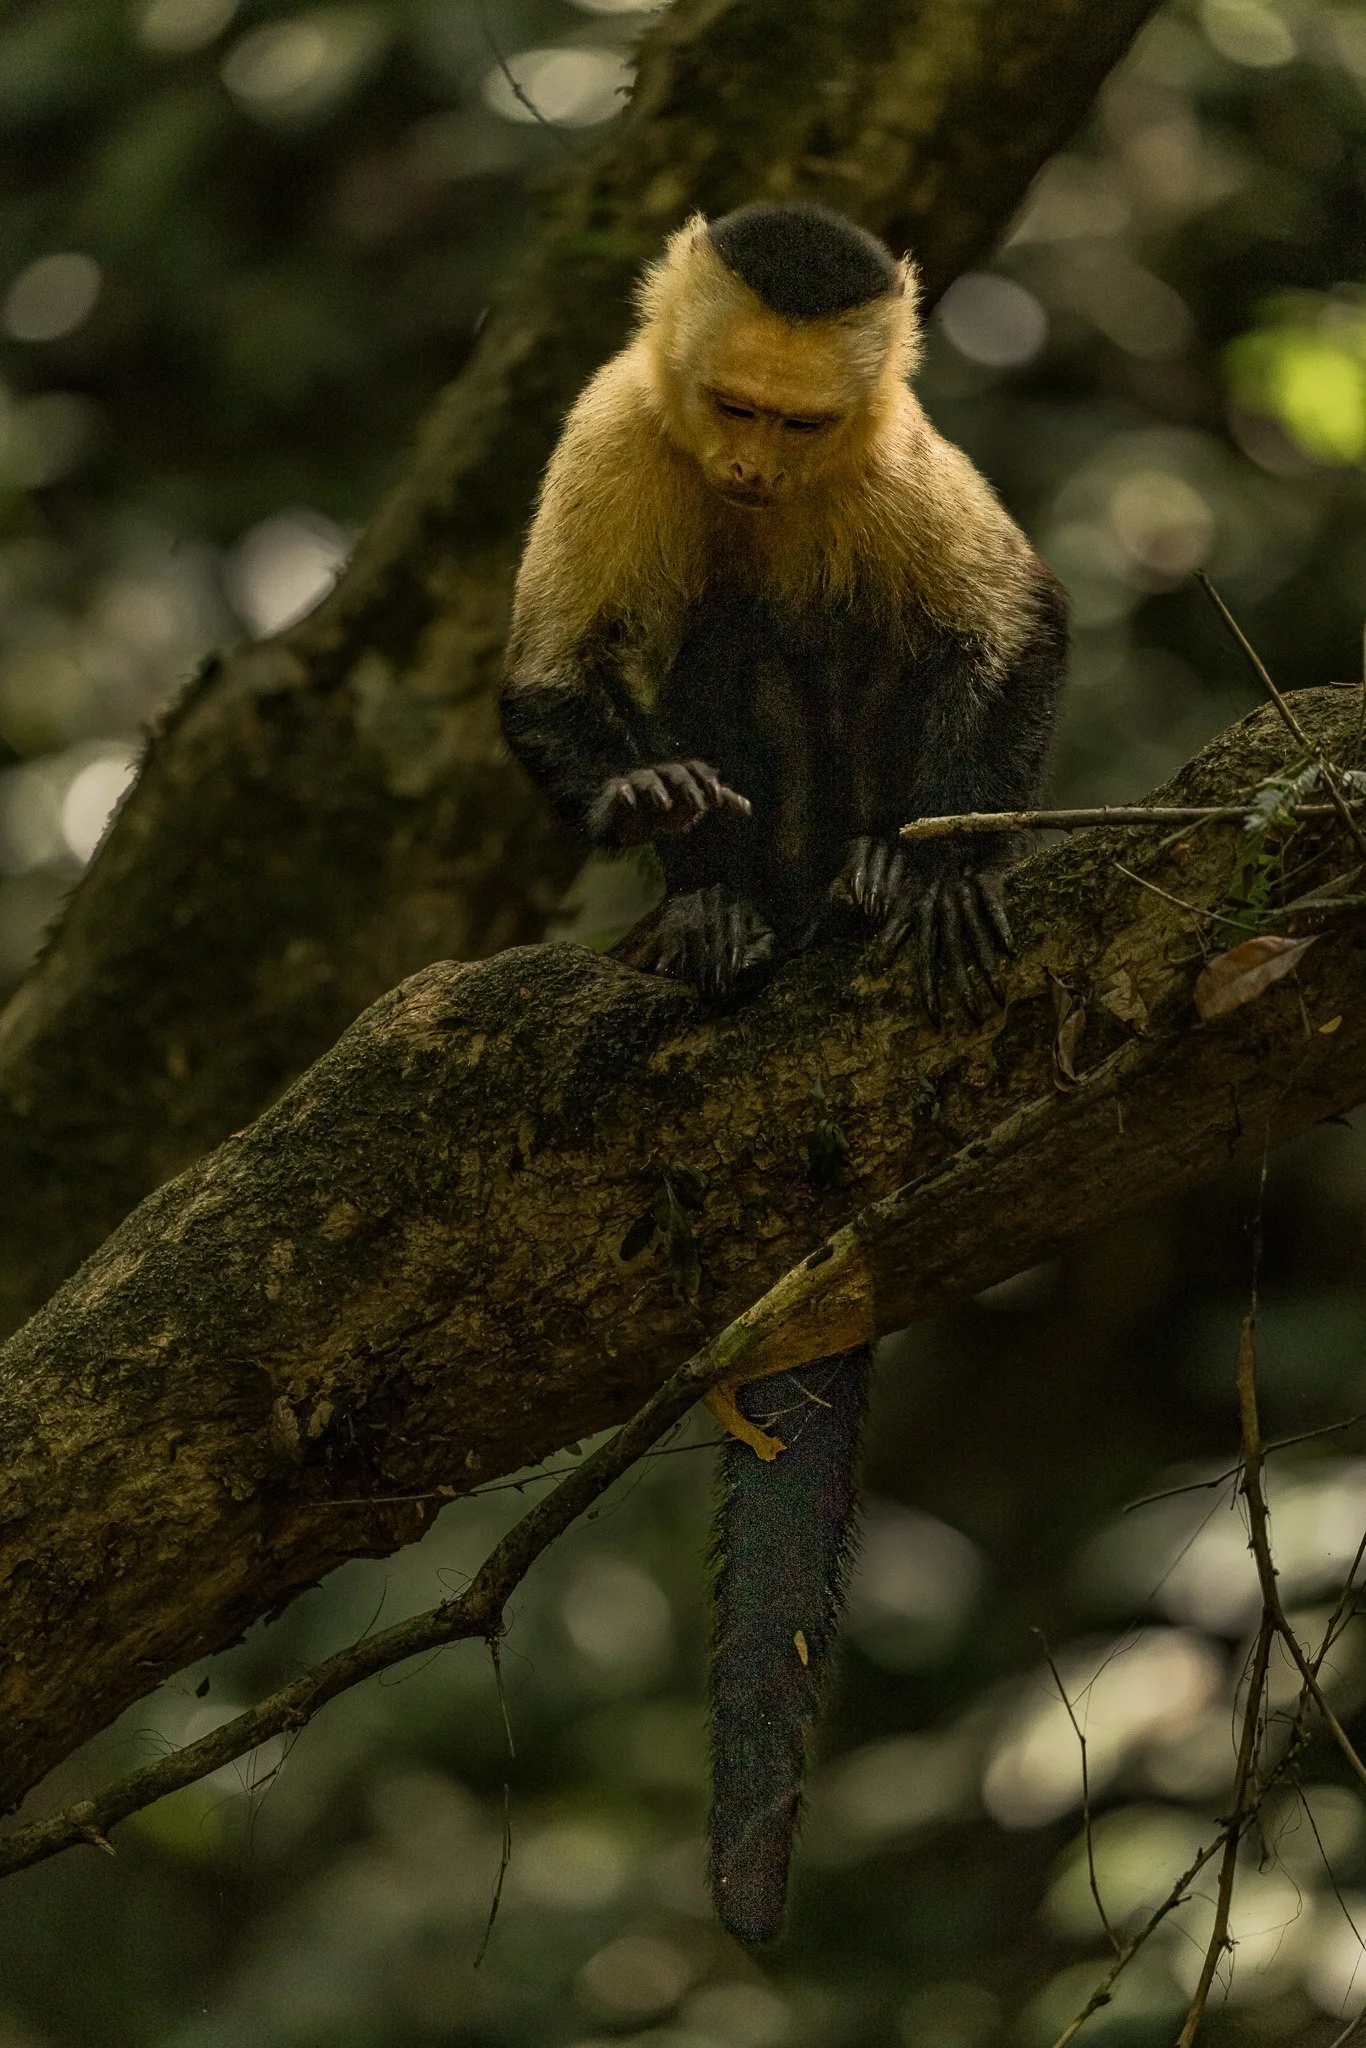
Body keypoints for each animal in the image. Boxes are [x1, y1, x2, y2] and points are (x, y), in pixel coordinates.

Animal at [500, 203, 1068, 1946]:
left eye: (798, 425)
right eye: (730, 408)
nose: (751, 472)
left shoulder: (889, 457)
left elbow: (1016, 627)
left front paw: (948, 865)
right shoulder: (619, 425)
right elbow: (554, 677)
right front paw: (653, 812)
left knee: (880, 634)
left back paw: (875, 882)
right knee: (718, 633)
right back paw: (717, 912)